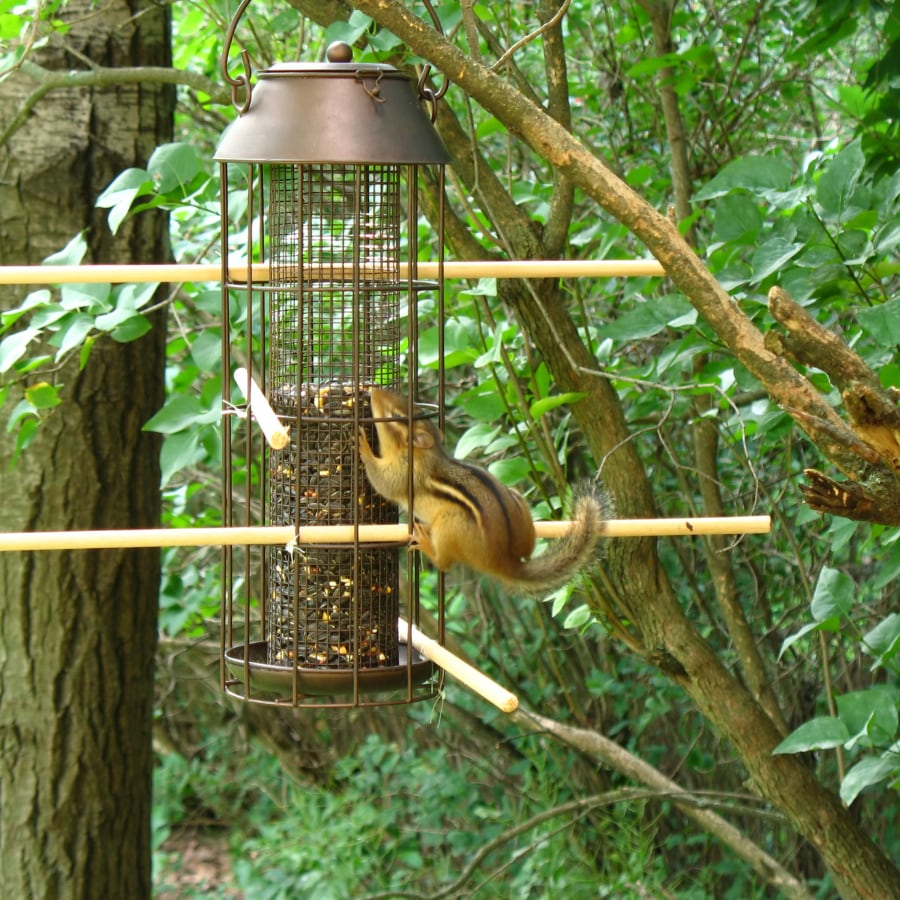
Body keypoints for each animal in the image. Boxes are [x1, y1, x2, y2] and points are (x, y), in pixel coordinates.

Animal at [358, 387, 608, 595]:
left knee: (444, 564)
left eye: (397, 415)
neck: (426, 453)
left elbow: (382, 481)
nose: (374, 390)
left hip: (450, 524)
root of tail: (505, 562)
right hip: (517, 500)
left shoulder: (404, 474)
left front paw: (363, 445)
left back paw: (426, 543)